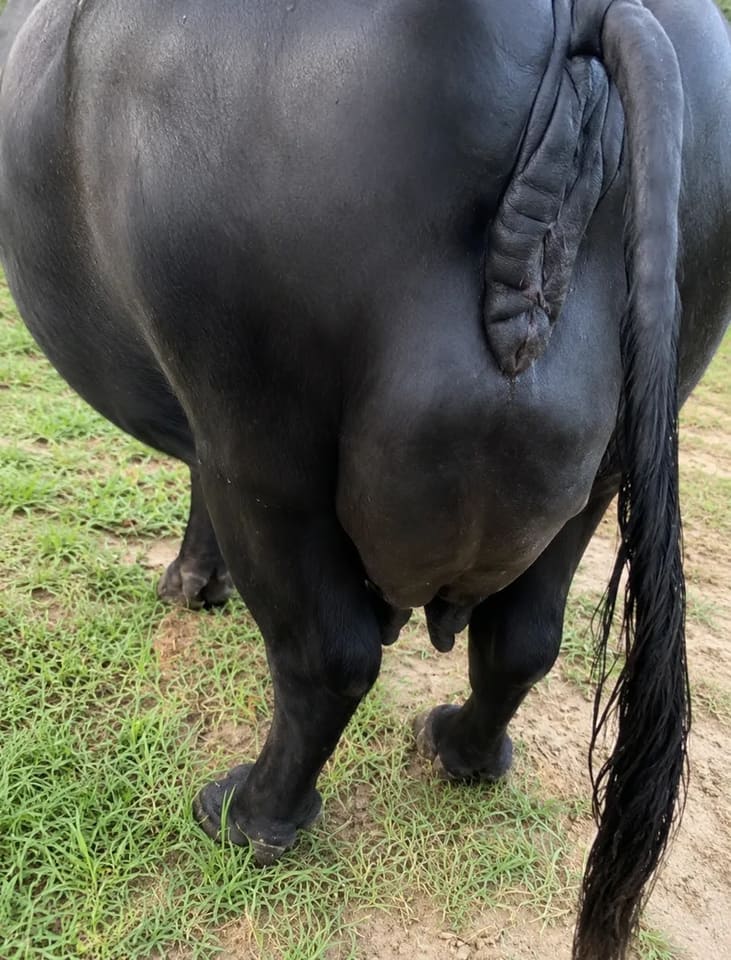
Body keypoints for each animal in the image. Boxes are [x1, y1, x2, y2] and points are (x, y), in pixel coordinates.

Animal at [1, 1, 729, 958]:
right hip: (608, 464)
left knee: (325, 659)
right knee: (521, 639)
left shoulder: (221, 427)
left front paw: (191, 584)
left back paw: (246, 816)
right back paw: (460, 752)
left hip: (264, 447)